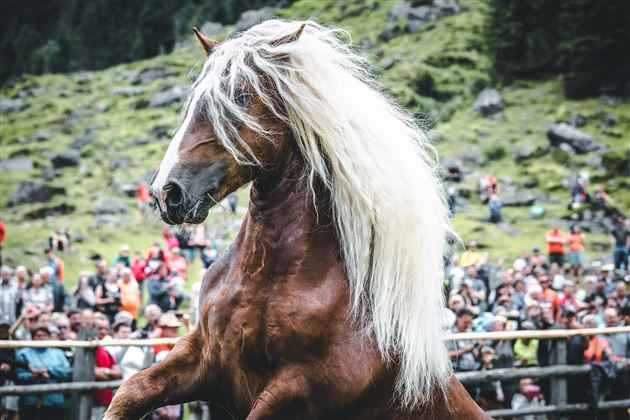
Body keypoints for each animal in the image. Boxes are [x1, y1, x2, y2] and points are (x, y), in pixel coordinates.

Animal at [105, 20, 488, 420]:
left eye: (241, 96)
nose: (167, 191)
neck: (270, 277)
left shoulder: (297, 390)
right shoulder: (204, 356)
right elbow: (132, 390)